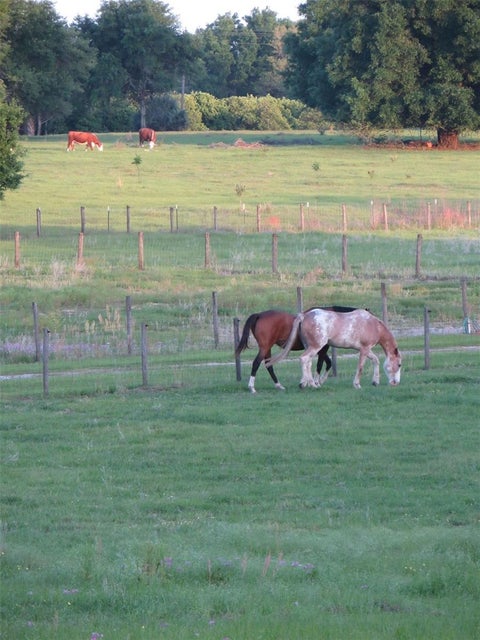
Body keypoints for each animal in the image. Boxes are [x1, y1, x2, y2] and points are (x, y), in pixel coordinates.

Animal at [267, 308, 401, 389]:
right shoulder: (364, 349)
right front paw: (357, 384)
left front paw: (375, 381)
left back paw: (307, 382)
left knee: (308, 362)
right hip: (316, 346)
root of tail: (304, 316)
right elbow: (360, 367)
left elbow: (376, 360)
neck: (373, 325)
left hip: (310, 347)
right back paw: (310, 384)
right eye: (399, 365)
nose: (395, 383)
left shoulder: (366, 350)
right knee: (304, 359)